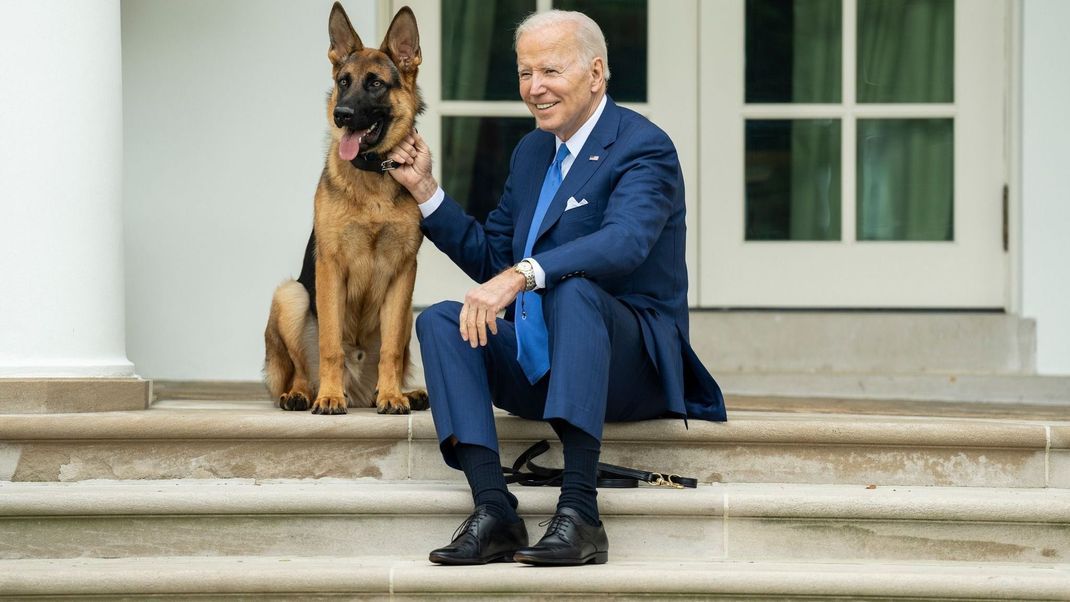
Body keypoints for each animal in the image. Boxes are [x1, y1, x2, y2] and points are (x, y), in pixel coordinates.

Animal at [265, 3, 428, 414]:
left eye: (375, 84)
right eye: (343, 81)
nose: (341, 114)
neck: (372, 175)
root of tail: (358, 392)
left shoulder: (404, 272)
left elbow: (390, 351)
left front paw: (393, 396)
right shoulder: (330, 268)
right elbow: (330, 344)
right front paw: (329, 397)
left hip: (409, 314)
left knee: (392, 358)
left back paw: (402, 393)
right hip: (291, 296)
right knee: (301, 369)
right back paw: (304, 394)